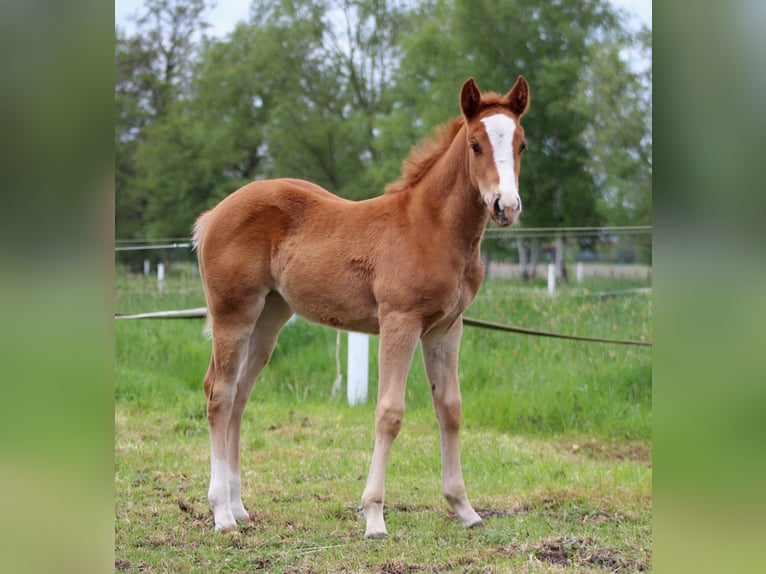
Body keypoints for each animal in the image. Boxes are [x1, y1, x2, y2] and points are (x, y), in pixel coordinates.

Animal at [192, 76, 530, 538]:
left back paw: (240, 507)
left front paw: (465, 509)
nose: (506, 206)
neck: (431, 228)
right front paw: (374, 517)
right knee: (220, 393)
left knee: (241, 395)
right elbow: (389, 413)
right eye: (475, 144)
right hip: (233, 313)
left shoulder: (446, 327)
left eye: (522, 144)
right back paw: (222, 514)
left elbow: (450, 410)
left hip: (270, 316)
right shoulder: (400, 321)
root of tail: (214, 214)